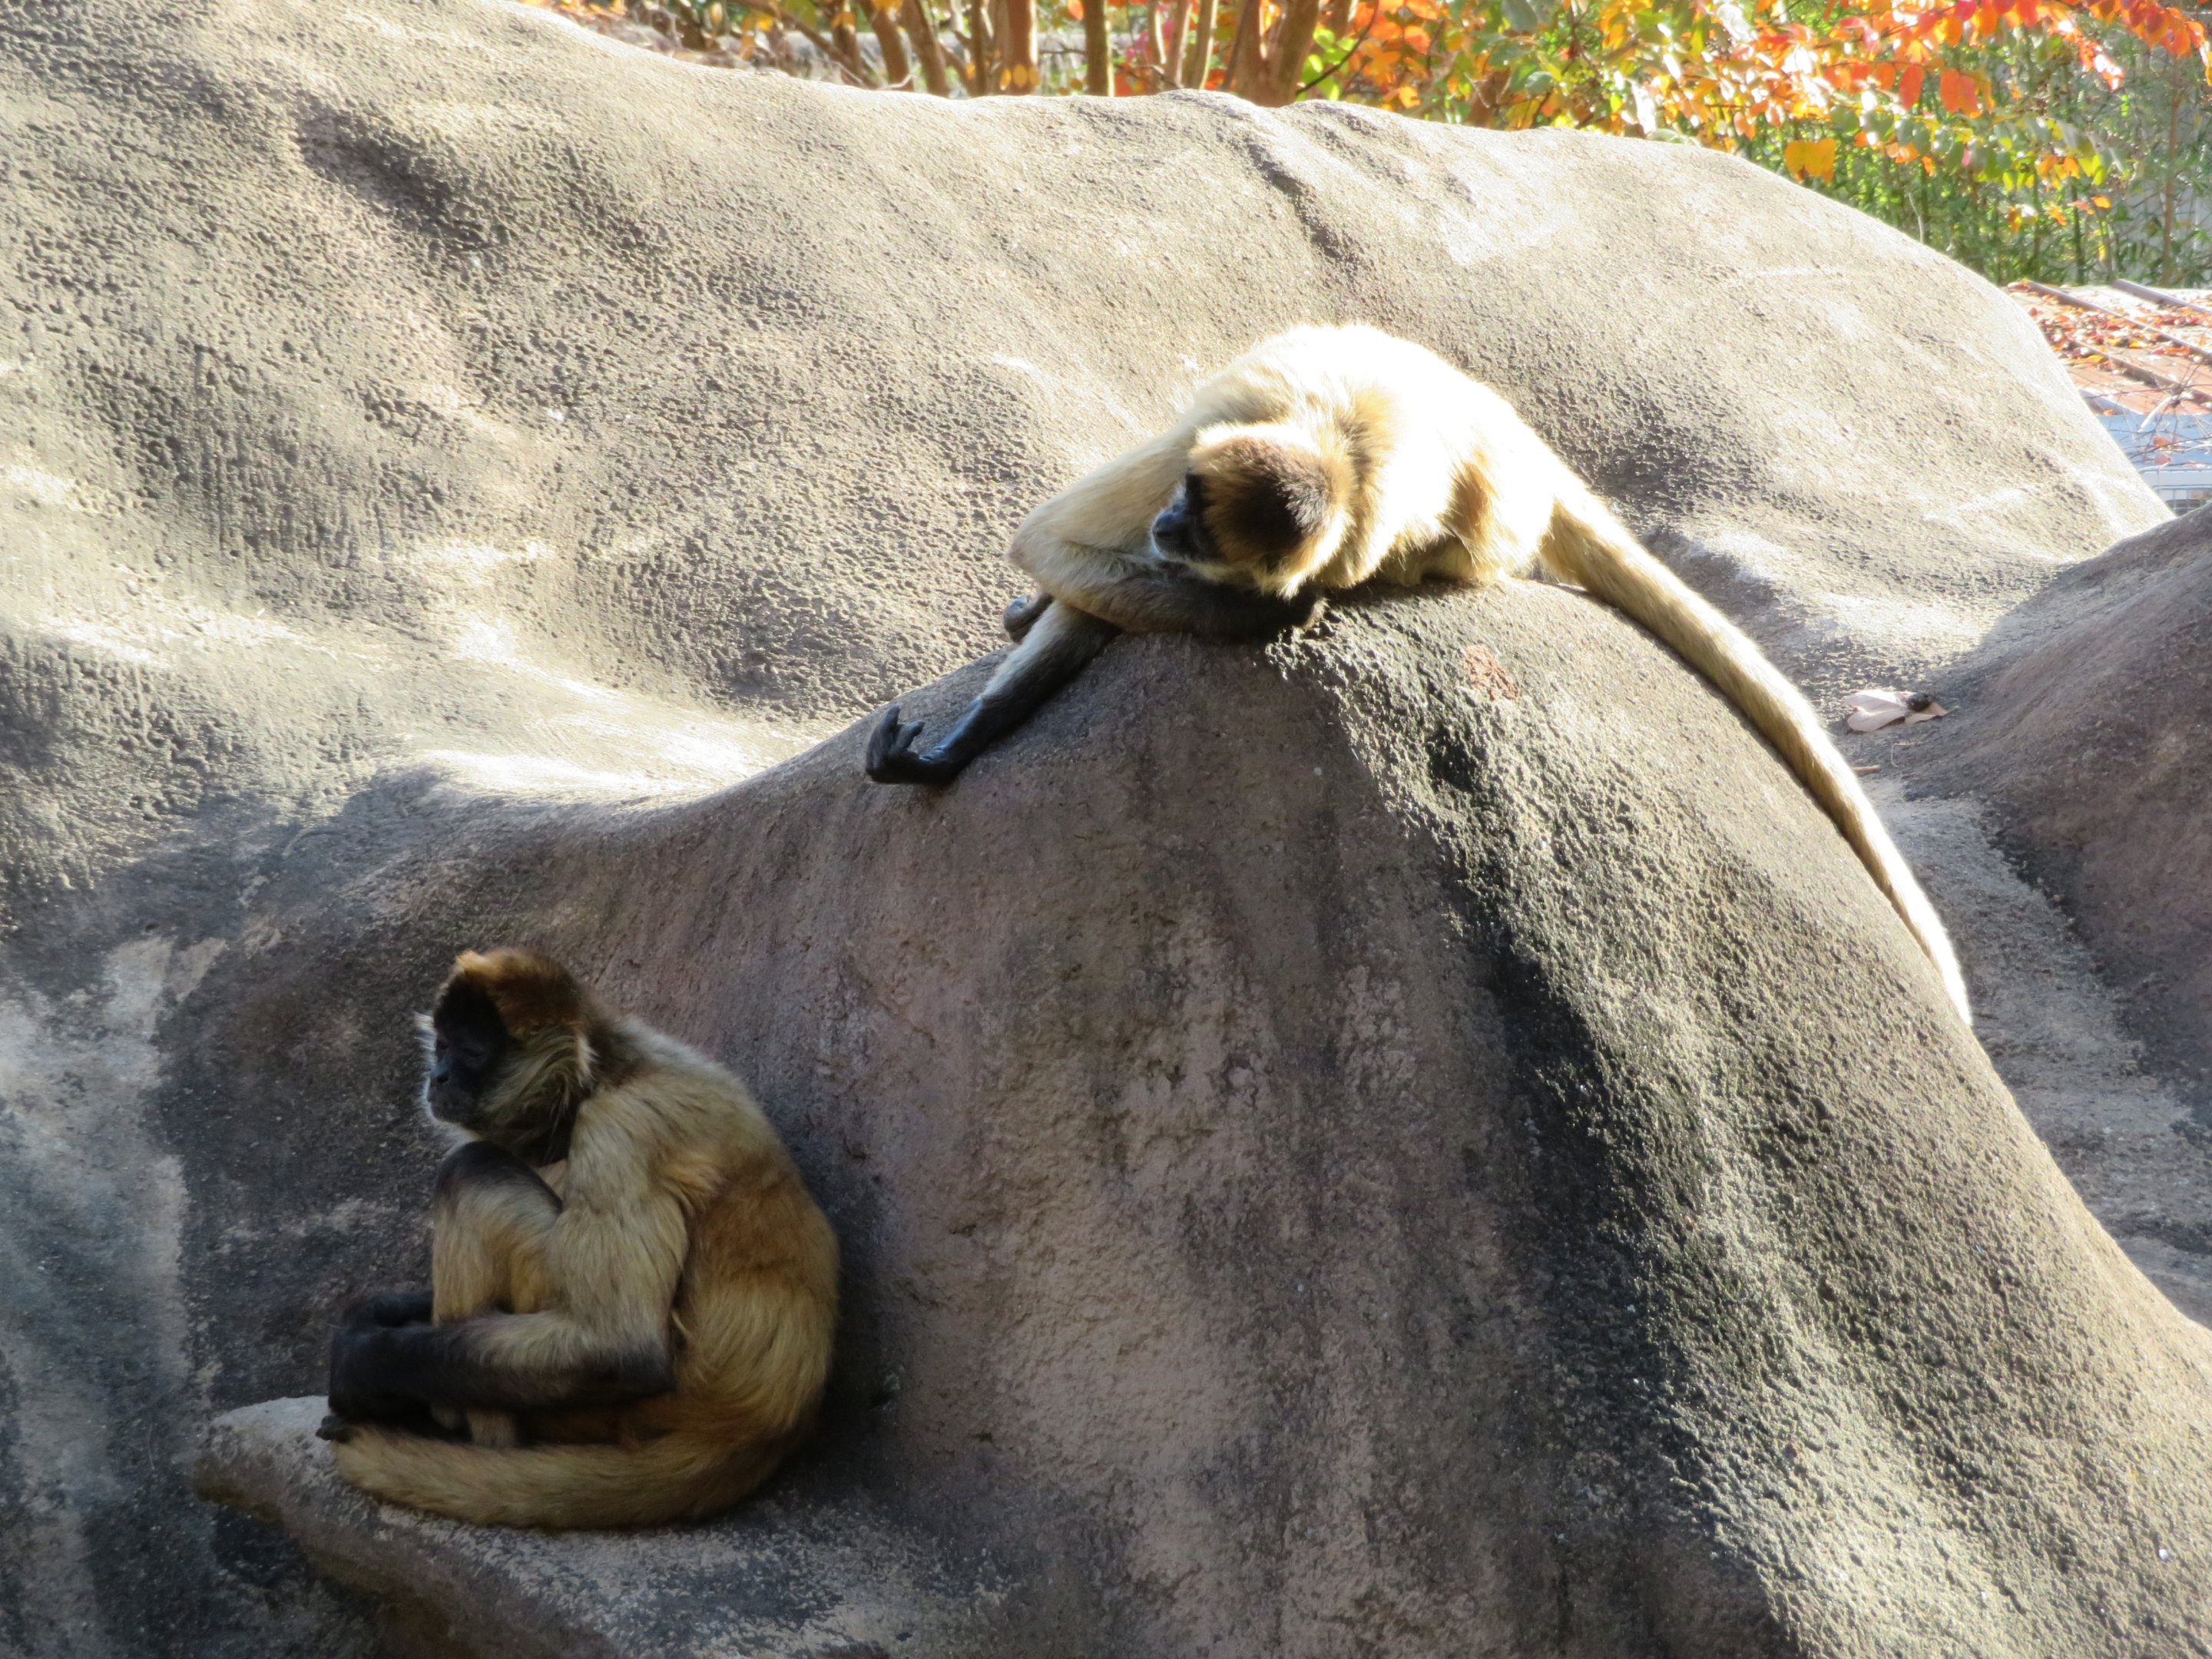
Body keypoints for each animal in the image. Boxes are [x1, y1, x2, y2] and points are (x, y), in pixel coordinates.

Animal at [319, 948, 839, 1528]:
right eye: (443, 1046)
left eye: (473, 1052)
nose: (440, 1075)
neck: (603, 1073)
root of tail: (763, 1422)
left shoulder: (624, 1127)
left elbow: (621, 1349)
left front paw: (361, 1361)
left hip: (620, 1410)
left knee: (471, 1169)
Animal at [864, 324, 1969, 1026]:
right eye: (1181, 500)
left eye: (1200, 521)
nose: (1171, 526)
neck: (1334, 447)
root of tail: (1524, 445)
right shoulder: (1201, 446)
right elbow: (1047, 540)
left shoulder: (1332, 528)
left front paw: (1255, 606)